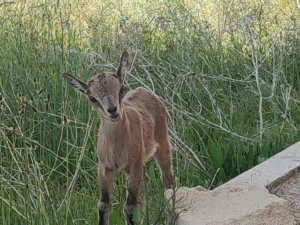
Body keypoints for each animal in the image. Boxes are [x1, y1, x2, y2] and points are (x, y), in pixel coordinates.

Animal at [62, 51, 173, 225]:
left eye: (121, 89)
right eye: (92, 98)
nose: (112, 110)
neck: (117, 147)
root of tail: (147, 91)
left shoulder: (134, 165)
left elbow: (129, 208)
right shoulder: (105, 168)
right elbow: (104, 206)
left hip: (162, 146)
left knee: (168, 181)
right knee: (145, 185)